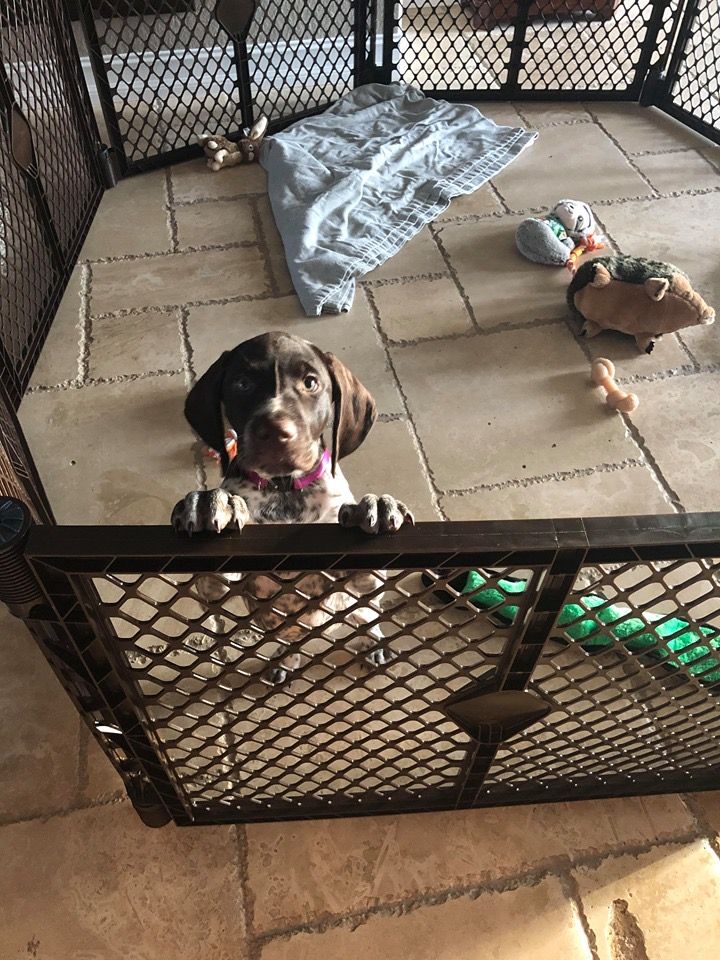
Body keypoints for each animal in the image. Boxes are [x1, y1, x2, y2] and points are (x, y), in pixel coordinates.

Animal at [171, 331, 414, 682]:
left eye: (310, 382)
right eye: (242, 383)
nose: (274, 431)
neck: (284, 490)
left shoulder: (360, 581)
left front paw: (379, 506)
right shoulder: (217, 587)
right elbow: (211, 575)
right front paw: (208, 502)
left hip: (358, 606)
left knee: (369, 618)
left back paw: (374, 643)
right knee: (291, 642)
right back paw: (285, 659)